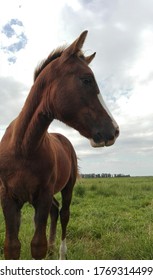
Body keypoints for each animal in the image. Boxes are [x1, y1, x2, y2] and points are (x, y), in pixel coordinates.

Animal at [0, 31, 119, 260]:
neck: (23, 148)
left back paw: (61, 252)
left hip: (67, 187)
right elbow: (12, 247)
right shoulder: (8, 199)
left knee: (63, 214)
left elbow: (38, 245)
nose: (114, 130)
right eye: (86, 79)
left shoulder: (43, 196)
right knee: (56, 211)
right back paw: (54, 246)